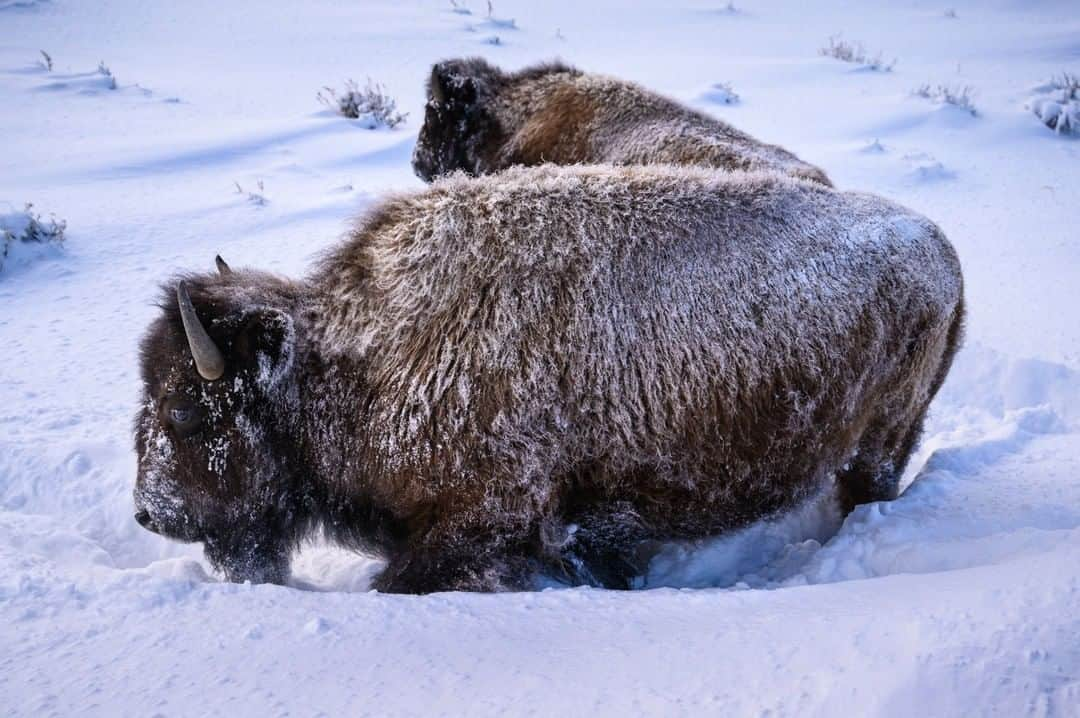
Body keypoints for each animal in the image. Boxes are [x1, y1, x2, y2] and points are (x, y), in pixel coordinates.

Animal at [132, 164, 963, 591]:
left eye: (186, 412)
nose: (148, 515)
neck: (353, 361)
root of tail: (941, 247)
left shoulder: (476, 518)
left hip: (878, 444)